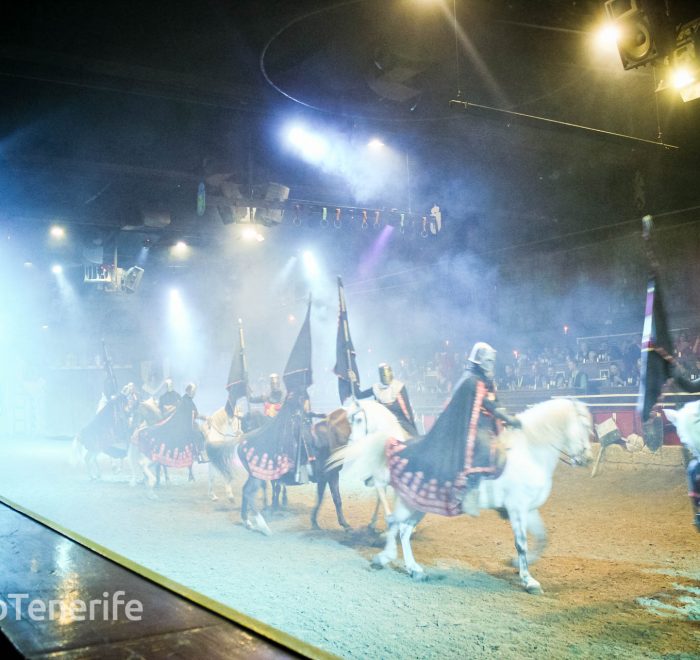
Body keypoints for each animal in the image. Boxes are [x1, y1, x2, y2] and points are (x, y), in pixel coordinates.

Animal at [334, 398, 592, 592]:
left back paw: (412, 568)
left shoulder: (528, 509)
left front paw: (516, 564)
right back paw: (389, 559)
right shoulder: (517, 508)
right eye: (586, 427)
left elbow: (542, 537)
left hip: (418, 505)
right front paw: (528, 580)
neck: (528, 452)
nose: (587, 458)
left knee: (403, 529)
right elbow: (522, 543)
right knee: (395, 524)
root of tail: (400, 448)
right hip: (410, 503)